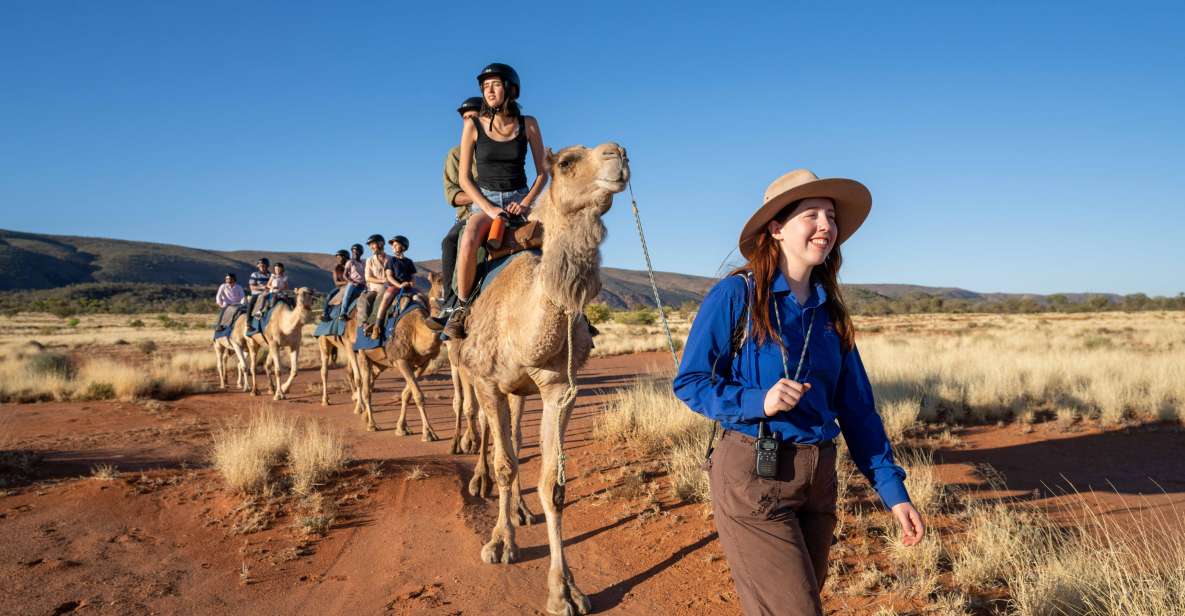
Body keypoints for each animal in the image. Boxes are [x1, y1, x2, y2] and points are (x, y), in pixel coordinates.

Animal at [353, 272, 445, 435]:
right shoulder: (400, 359)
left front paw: (401, 428)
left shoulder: (423, 363)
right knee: (366, 390)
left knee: (370, 383)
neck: (417, 329)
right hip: (363, 354)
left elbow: (407, 394)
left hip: (381, 362)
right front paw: (428, 432)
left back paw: (366, 417)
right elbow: (418, 395)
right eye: (437, 280)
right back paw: (372, 425)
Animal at [452, 142, 630, 611]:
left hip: (520, 389)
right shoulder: (488, 381)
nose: (618, 153)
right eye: (566, 162)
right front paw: (500, 544)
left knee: (514, 431)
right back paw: (480, 482)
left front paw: (564, 589)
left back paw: (519, 510)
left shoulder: (559, 389)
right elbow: (504, 465)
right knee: (485, 427)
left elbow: (552, 485)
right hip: (467, 367)